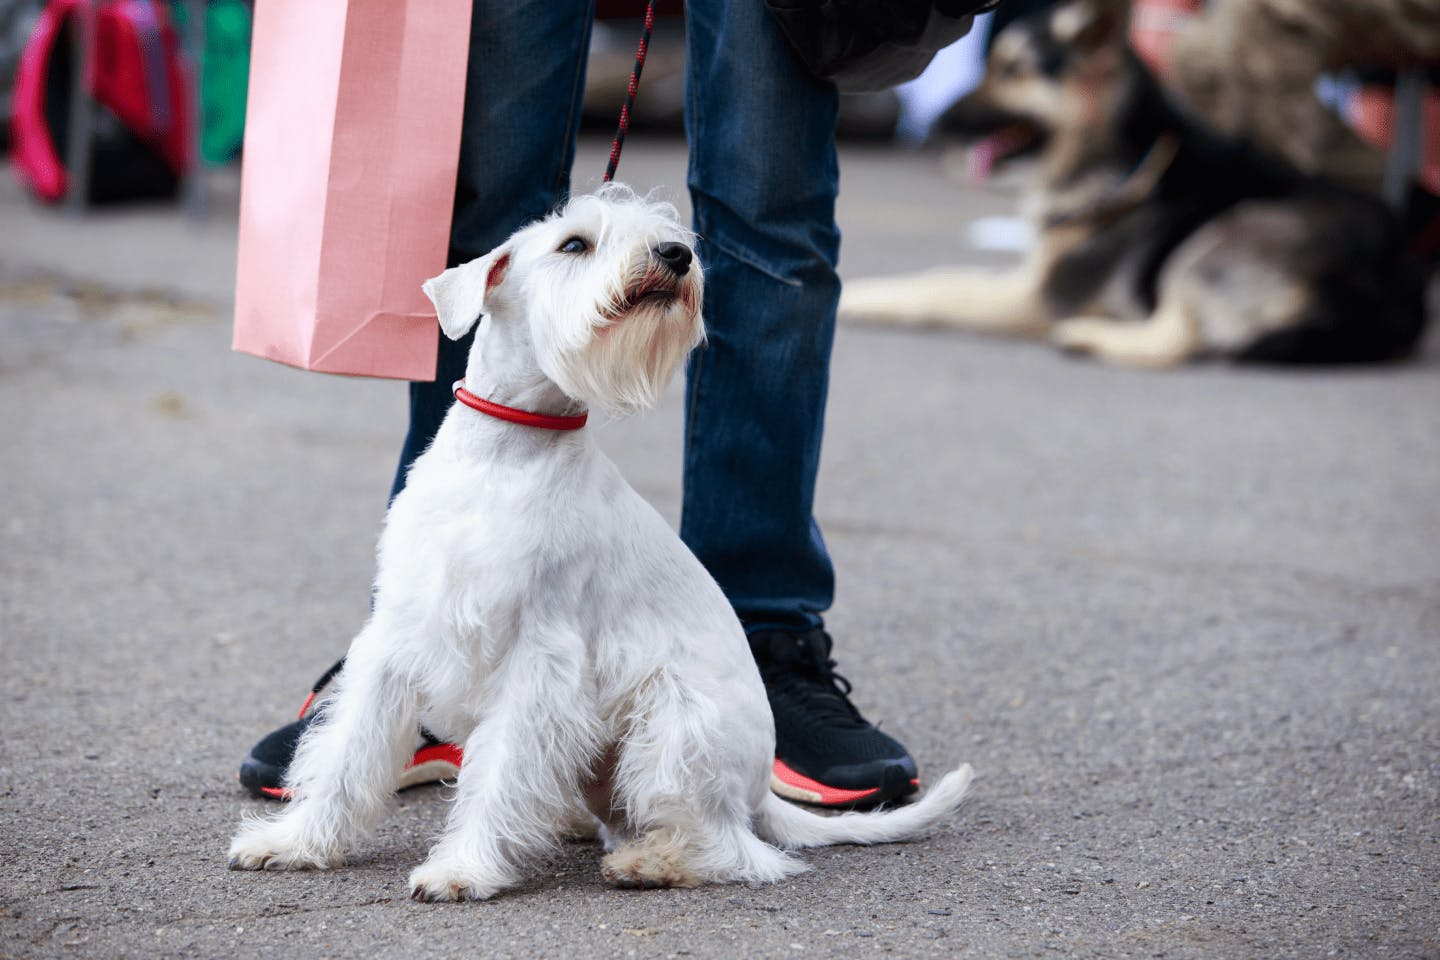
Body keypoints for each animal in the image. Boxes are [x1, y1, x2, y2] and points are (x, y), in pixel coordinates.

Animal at [227, 185, 979, 903]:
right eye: (574, 243)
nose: (677, 254)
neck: (505, 452)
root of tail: (759, 789)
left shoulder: (538, 657)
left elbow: (499, 769)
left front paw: (463, 869)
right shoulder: (396, 635)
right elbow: (348, 753)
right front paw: (294, 842)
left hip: (674, 727)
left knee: (732, 848)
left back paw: (649, 863)